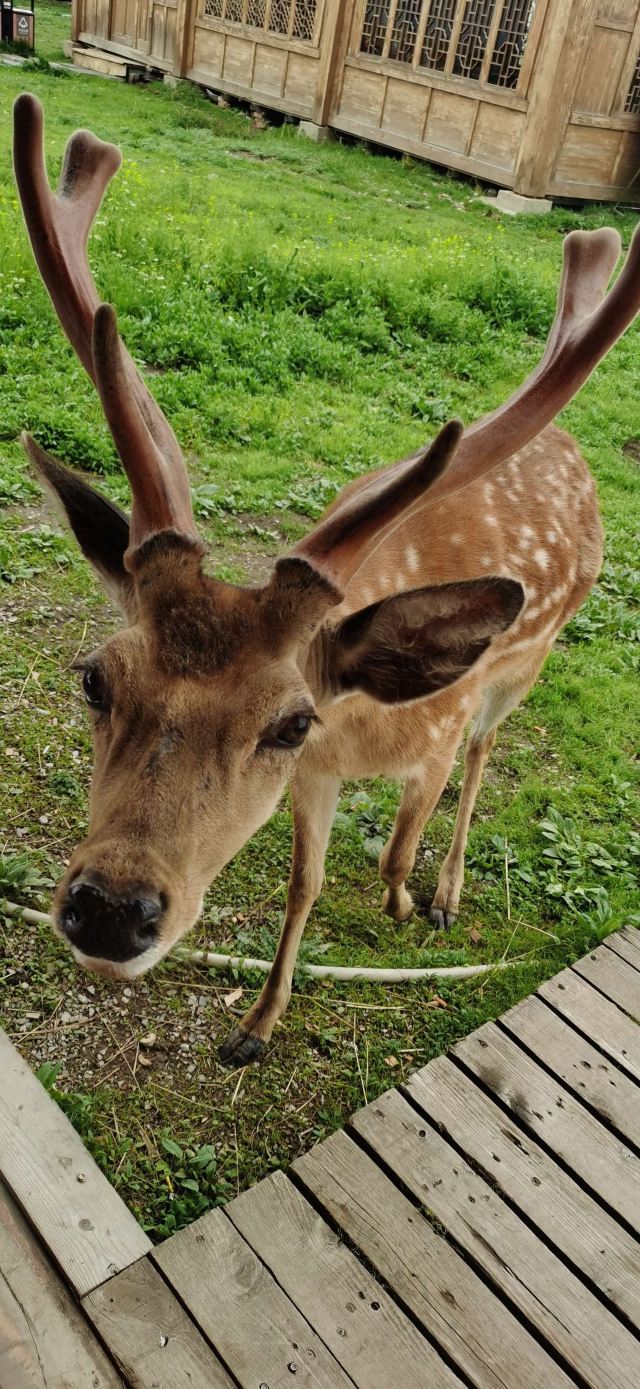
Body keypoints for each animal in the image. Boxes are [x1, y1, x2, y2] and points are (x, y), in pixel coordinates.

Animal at [12, 93, 640, 1069]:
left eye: (289, 720)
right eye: (94, 679)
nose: (111, 909)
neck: (368, 734)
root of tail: (570, 445)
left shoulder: (432, 730)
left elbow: (398, 844)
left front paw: (408, 899)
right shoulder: (315, 780)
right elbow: (302, 885)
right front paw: (255, 1025)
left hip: (525, 667)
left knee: (487, 751)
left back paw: (448, 888)